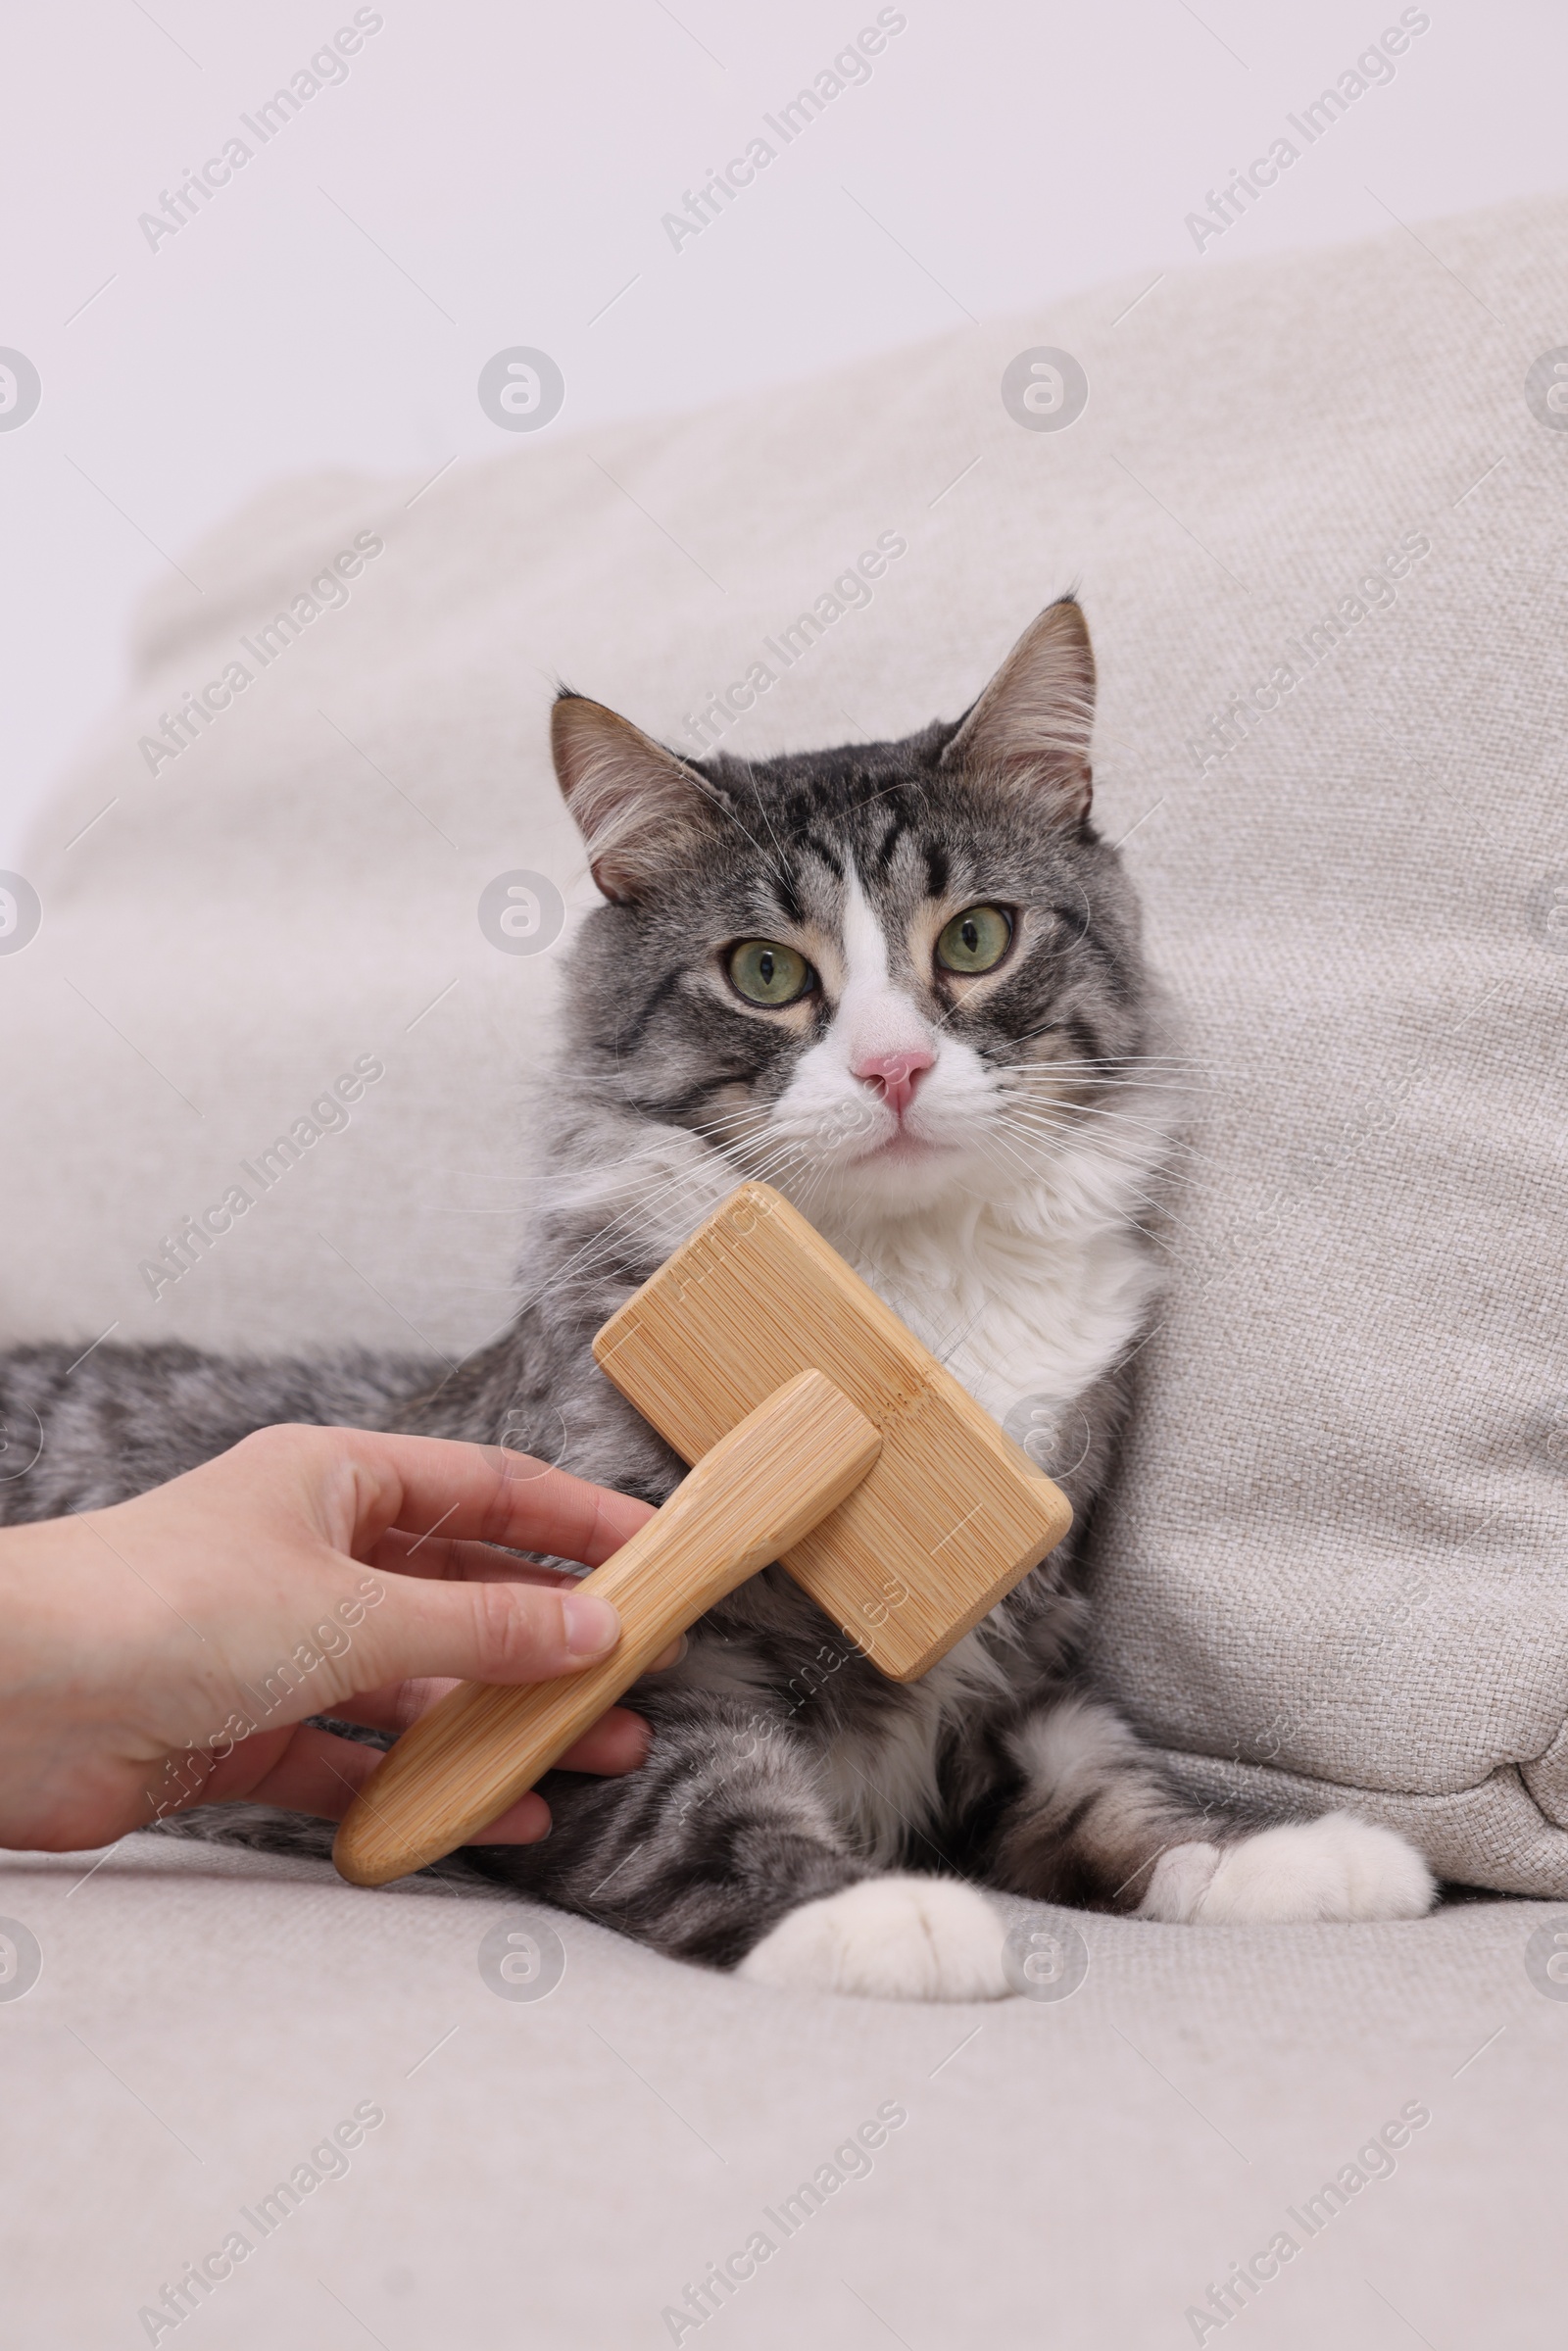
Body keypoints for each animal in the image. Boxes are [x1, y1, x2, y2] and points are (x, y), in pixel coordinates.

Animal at [0, 597, 1439, 1993]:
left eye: (976, 937)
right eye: (764, 971)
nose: (896, 1066)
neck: (894, 1305)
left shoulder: (1021, 1661)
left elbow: (1121, 1791)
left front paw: (1281, 1856)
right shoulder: (629, 1670)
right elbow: (700, 1803)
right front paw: (873, 1914)